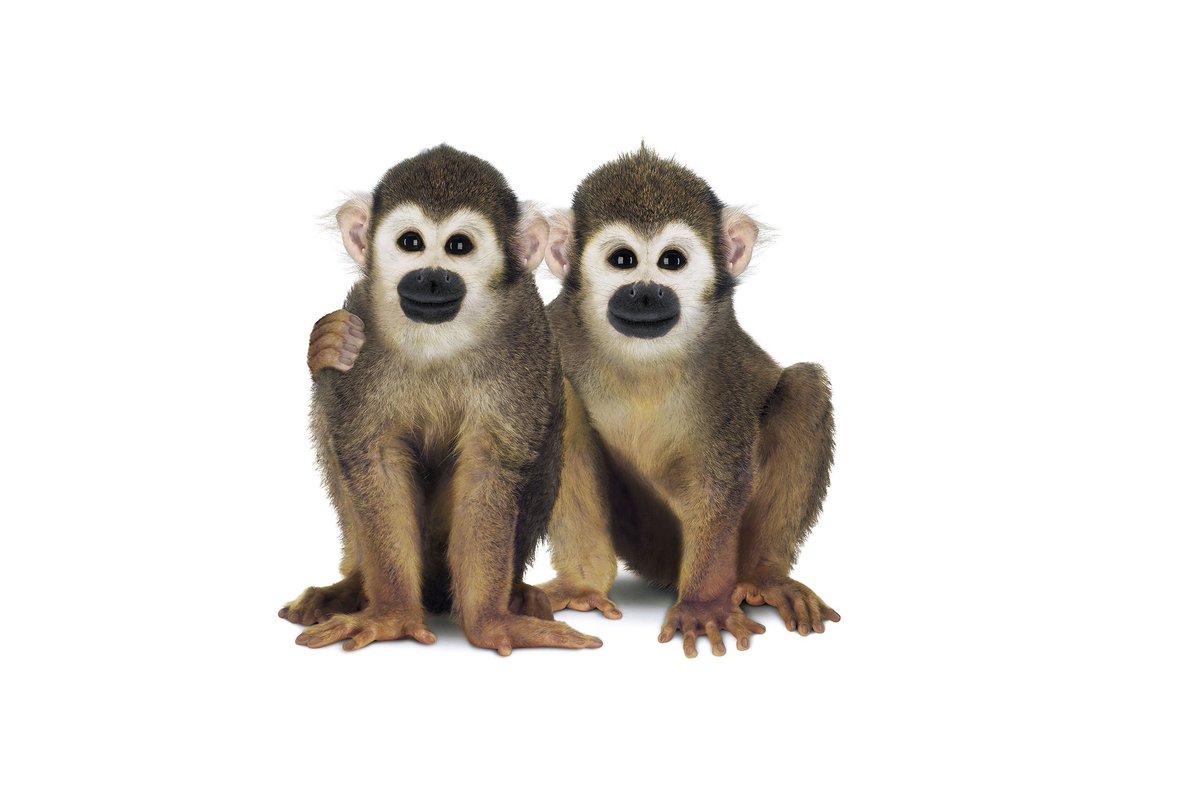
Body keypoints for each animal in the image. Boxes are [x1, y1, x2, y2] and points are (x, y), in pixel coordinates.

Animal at [279, 145, 601, 655]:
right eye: (411, 243)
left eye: (458, 247)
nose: (431, 279)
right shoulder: (361, 318)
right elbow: (374, 460)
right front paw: (391, 613)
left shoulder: (524, 334)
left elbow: (491, 467)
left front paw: (491, 620)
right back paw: (351, 588)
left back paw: (516, 595)